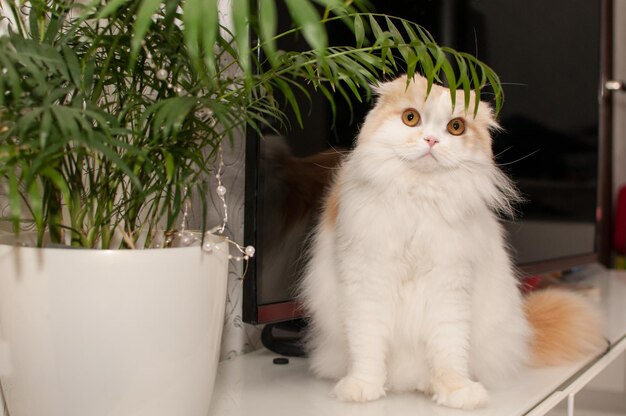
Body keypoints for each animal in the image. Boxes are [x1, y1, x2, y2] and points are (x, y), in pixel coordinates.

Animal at [298, 75, 604, 410]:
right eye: (411, 118)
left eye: (455, 127)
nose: (432, 140)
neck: (418, 200)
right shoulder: (367, 285)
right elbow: (368, 347)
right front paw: (363, 387)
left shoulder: (449, 289)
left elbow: (449, 351)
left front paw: (456, 391)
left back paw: (427, 385)